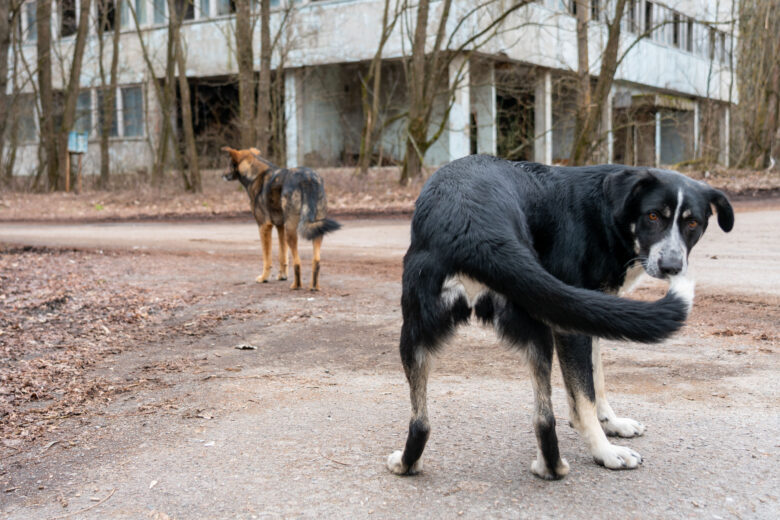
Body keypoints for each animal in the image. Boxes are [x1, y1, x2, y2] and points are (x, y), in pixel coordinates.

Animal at [221, 146, 340, 290]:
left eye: (228, 163)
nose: (222, 175)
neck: (255, 174)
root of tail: (307, 178)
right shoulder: (280, 226)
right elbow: (282, 255)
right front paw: (282, 276)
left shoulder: (264, 227)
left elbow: (267, 258)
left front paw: (264, 278)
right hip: (315, 228)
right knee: (316, 260)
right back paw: (314, 286)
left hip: (291, 230)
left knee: (297, 261)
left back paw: (296, 285)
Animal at [386, 153, 736, 480]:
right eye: (652, 216)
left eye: (693, 223)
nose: (672, 267)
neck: (606, 214)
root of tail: (473, 227)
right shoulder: (574, 326)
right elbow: (585, 395)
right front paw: (604, 446)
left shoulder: (589, 315)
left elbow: (596, 382)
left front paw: (612, 422)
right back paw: (601, 454)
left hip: (484, 332)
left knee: (436, 421)